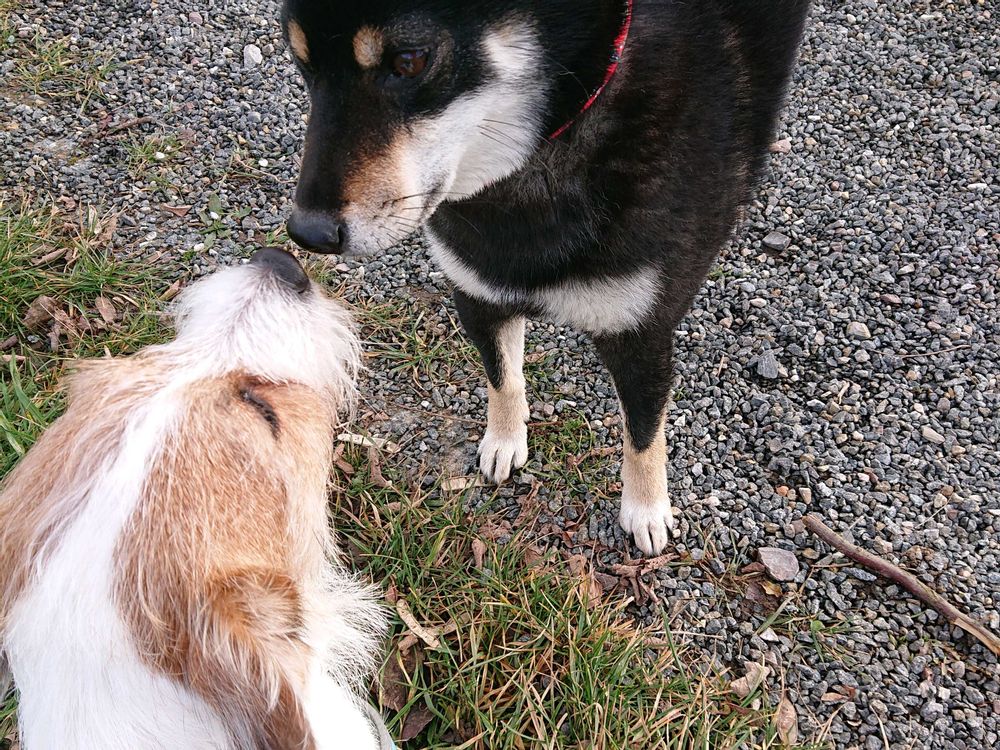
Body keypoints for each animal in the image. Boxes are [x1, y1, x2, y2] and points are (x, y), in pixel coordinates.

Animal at [280, 1, 812, 555]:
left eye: (409, 60)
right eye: (301, 62)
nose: (308, 233)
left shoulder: (640, 332)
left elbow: (644, 434)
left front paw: (646, 509)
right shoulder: (478, 290)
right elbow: (503, 376)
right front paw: (505, 439)